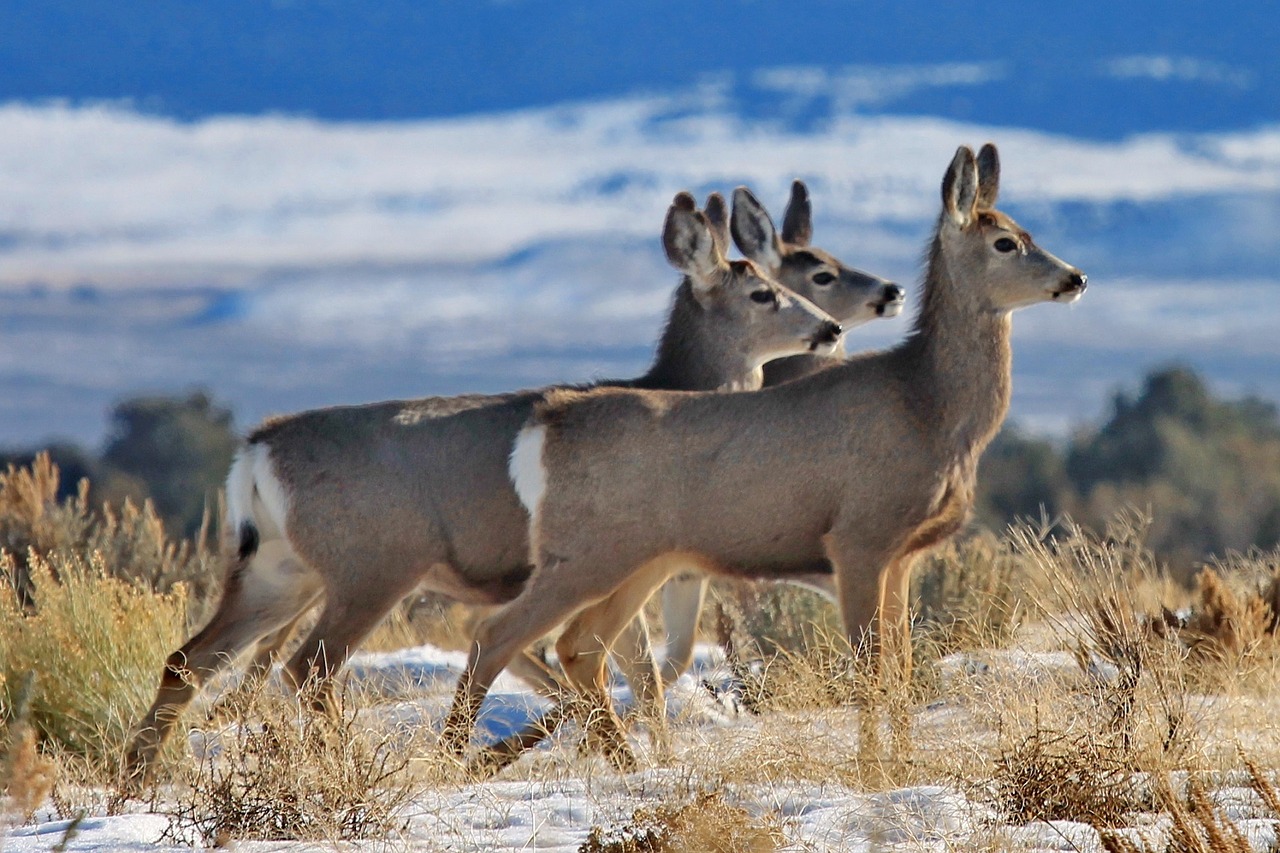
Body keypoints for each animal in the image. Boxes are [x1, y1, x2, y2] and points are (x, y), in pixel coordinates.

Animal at [115, 190, 844, 778]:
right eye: (764, 293)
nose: (830, 329)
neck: (674, 387)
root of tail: (256, 452)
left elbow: (637, 670)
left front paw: (648, 757)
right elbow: (612, 663)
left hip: (278, 568)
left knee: (189, 658)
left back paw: (137, 779)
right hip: (372, 564)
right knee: (308, 669)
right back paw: (348, 763)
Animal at [445, 142, 1085, 768]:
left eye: (1025, 229)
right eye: (1005, 242)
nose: (1076, 277)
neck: (928, 406)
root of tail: (544, 425)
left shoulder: (902, 555)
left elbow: (901, 669)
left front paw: (905, 765)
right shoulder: (857, 536)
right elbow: (870, 667)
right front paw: (875, 772)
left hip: (638, 560)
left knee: (581, 646)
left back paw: (624, 766)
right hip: (583, 554)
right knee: (498, 634)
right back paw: (459, 756)